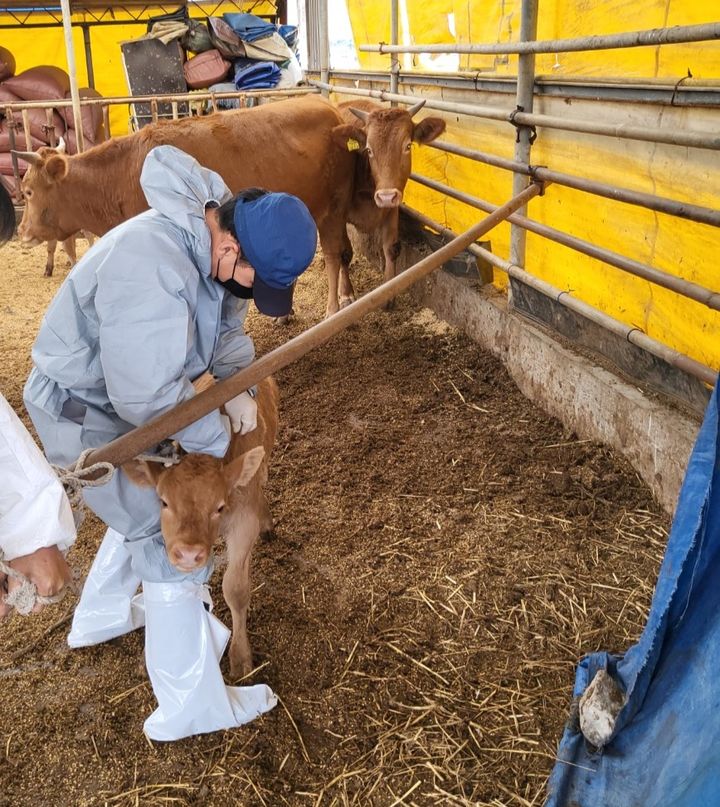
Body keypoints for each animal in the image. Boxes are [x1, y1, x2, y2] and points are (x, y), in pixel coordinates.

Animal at [5, 96, 354, 318]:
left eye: (29, 191)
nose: (22, 231)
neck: (122, 176)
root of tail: (325, 104)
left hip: (334, 206)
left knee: (334, 254)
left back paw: (334, 308)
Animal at [126, 376, 278, 680]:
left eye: (219, 506)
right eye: (163, 501)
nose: (188, 553)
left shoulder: (244, 522)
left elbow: (235, 589)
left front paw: (240, 658)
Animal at [330, 95, 444, 310]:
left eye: (407, 146)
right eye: (368, 149)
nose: (385, 196)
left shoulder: (392, 208)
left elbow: (391, 248)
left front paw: (388, 294)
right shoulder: (337, 214)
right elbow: (343, 253)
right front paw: (346, 293)